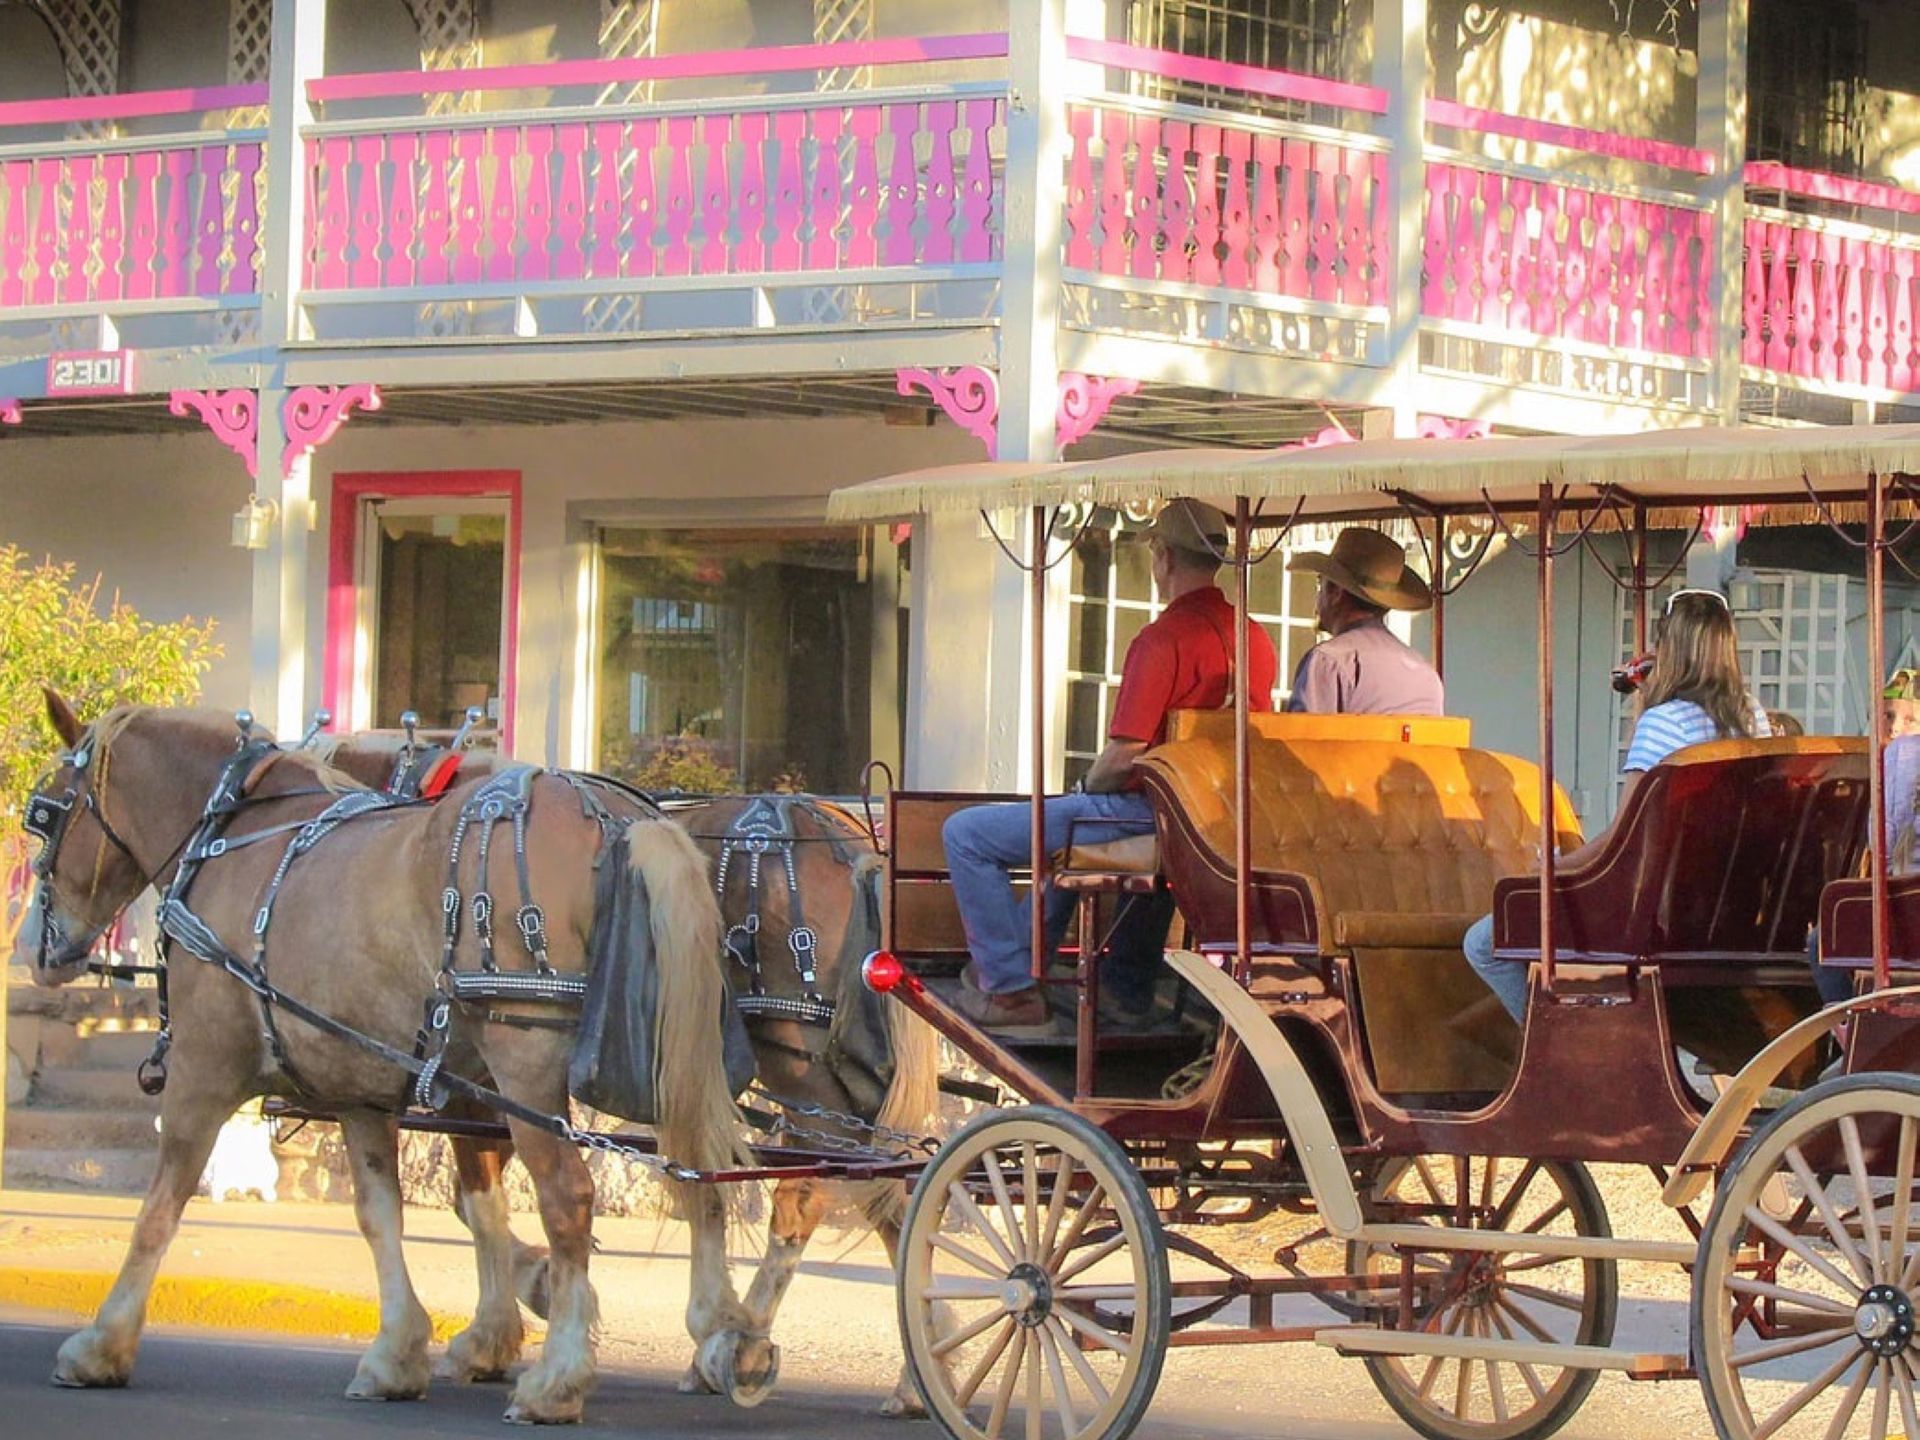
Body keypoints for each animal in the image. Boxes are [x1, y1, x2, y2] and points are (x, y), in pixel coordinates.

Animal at [16, 695, 748, 1428]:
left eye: (44, 811)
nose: (32, 947)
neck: (234, 836)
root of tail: (620, 821)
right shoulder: (361, 1089)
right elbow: (381, 1212)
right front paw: (399, 1350)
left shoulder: (204, 1069)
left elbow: (160, 1207)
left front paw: (101, 1343)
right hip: (658, 1054)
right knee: (698, 1172)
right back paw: (728, 1338)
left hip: (527, 1060)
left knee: (570, 1195)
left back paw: (560, 1378)